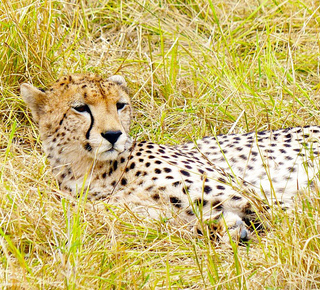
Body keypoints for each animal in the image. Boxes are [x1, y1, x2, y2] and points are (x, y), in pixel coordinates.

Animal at [20, 74, 320, 242]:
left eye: (120, 105)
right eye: (80, 108)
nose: (114, 134)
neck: (91, 170)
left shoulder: (259, 197)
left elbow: (294, 221)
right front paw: (224, 229)